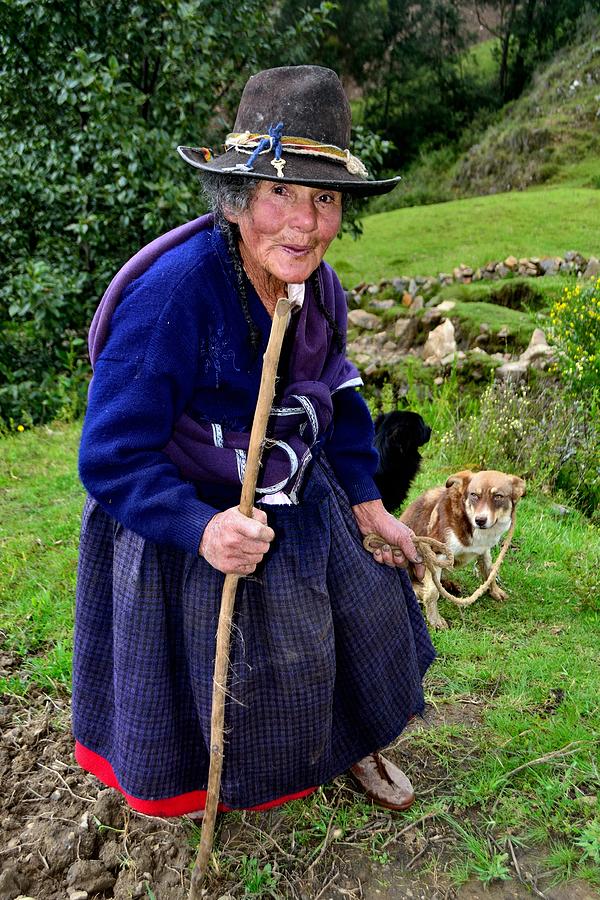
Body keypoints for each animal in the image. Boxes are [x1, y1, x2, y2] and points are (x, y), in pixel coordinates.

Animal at [404, 468, 524, 628]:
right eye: (474, 495)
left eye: (498, 496)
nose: (480, 520)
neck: (467, 519)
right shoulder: (434, 554)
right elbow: (433, 593)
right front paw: (435, 620)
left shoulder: (484, 550)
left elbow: (489, 572)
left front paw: (495, 591)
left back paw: (450, 586)